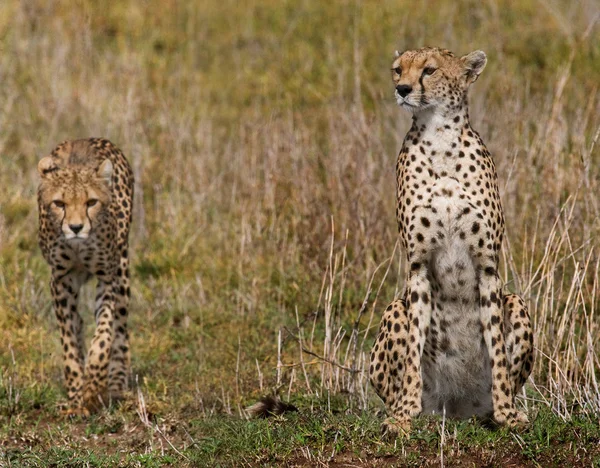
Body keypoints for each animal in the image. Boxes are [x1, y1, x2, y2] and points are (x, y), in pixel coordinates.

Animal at [38, 137, 135, 414]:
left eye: (91, 202)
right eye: (59, 204)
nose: (76, 227)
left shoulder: (108, 276)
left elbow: (103, 335)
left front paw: (92, 388)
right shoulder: (61, 280)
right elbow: (69, 339)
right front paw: (75, 395)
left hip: (122, 266)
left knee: (120, 328)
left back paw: (115, 384)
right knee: (79, 322)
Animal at [370, 47, 536, 436]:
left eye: (429, 70)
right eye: (397, 69)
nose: (402, 89)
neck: (440, 137)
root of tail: (458, 408)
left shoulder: (488, 266)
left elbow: (497, 350)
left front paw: (508, 414)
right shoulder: (416, 266)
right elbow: (413, 347)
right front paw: (404, 415)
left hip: (517, 302)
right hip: (394, 307)